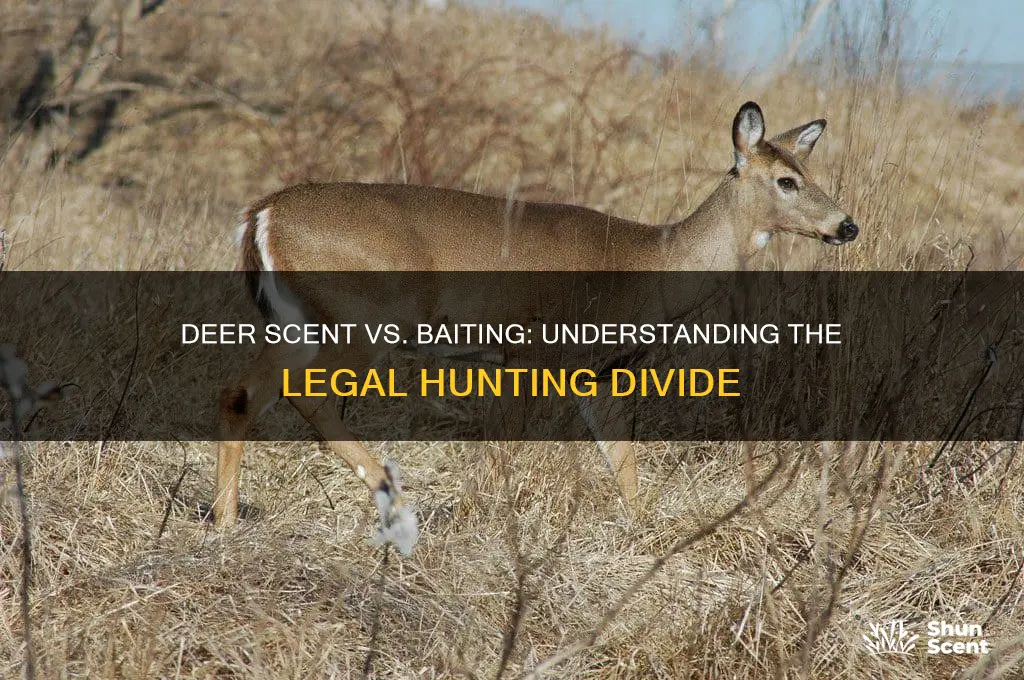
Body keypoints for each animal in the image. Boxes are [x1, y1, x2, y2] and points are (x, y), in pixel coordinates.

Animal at [212, 101, 858, 555]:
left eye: (808, 169)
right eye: (786, 181)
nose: (846, 225)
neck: (651, 262)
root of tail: (263, 214)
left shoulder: (603, 374)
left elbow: (622, 461)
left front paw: (644, 534)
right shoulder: (533, 354)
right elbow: (513, 448)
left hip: (296, 324)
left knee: (241, 393)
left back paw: (224, 522)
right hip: (364, 321)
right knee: (307, 398)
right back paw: (391, 499)